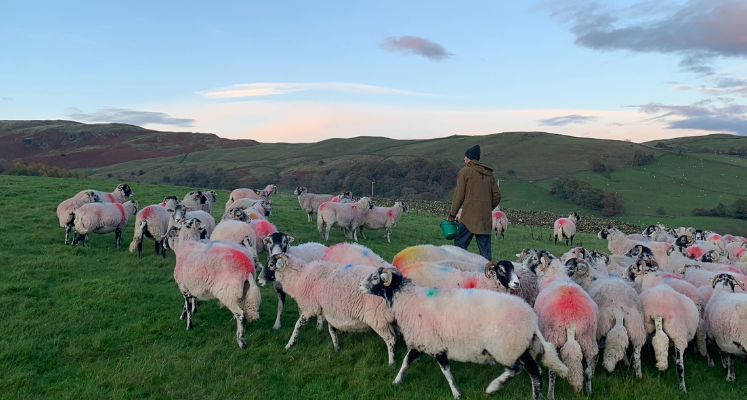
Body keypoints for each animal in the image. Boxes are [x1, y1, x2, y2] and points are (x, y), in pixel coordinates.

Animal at [162, 217, 262, 348]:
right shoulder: (192, 286)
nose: (163, 244)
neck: (185, 244)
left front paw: (189, 325)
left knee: (241, 315)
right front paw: (192, 311)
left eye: (170, 234)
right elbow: (191, 302)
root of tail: (247, 268)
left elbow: (187, 306)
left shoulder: (184, 287)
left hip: (228, 294)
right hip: (243, 291)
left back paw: (241, 341)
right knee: (243, 310)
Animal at [360, 266, 568, 400]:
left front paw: (457, 393)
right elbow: (406, 361)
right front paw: (397, 381)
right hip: (517, 346)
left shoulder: (435, 344)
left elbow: (446, 371)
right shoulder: (422, 341)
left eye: (376, 278)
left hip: (507, 346)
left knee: (519, 369)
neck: (407, 300)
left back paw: (494, 387)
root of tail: (531, 319)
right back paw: (533, 395)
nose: (360, 286)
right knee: (534, 371)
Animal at [524, 250, 600, 396]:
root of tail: (572, 319)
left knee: (552, 371)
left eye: (535, 258)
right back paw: (589, 392)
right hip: (587, 338)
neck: (554, 275)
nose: (523, 266)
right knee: (588, 370)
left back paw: (550, 394)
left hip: (554, 336)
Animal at [632, 258, 700, 392]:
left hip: (643, 327)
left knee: (637, 351)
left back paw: (639, 375)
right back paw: (683, 389)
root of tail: (658, 310)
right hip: (678, 333)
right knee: (680, 365)